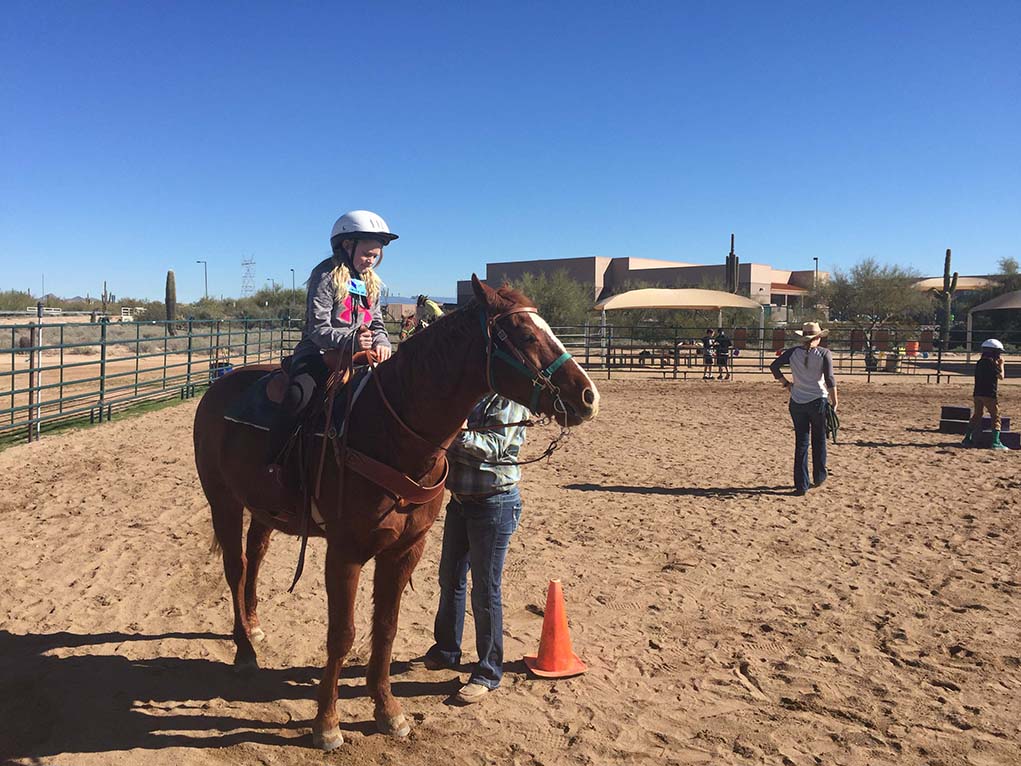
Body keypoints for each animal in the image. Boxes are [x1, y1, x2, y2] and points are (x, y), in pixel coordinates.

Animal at [191, 273, 596, 751]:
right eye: (527, 335)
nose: (587, 395)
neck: (388, 432)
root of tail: (217, 388)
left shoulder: (405, 551)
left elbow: (385, 628)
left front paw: (388, 711)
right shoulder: (344, 553)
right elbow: (342, 634)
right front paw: (326, 724)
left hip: (263, 507)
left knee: (254, 557)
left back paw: (253, 626)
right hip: (223, 500)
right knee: (235, 568)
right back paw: (244, 650)